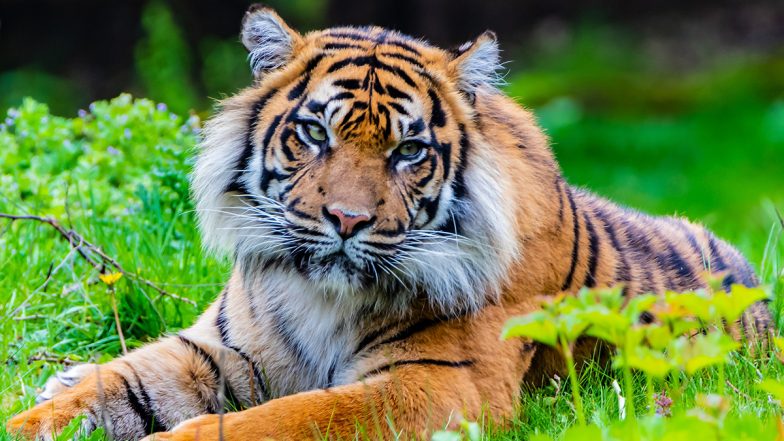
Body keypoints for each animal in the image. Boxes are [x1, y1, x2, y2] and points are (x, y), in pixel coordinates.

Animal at [7, 5, 773, 440]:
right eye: (315, 133)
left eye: (408, 151)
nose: (346, 219)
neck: (317, 292)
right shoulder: (227, 348)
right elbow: (120, 383)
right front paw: (33, 418)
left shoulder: (438, 384)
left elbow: (283, 418)